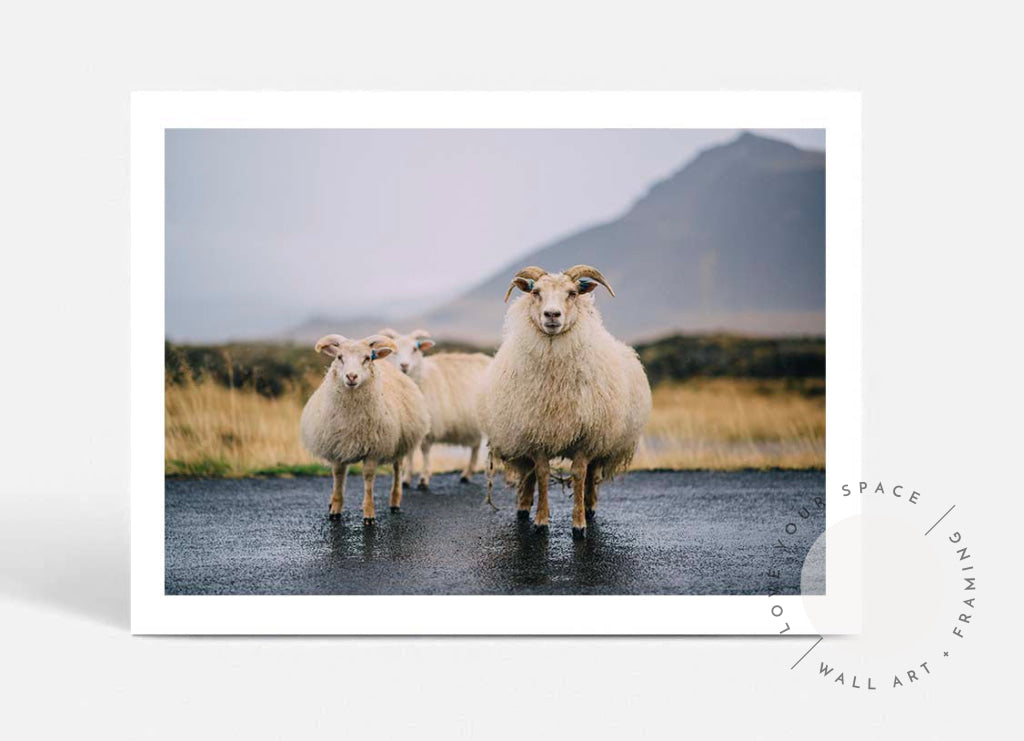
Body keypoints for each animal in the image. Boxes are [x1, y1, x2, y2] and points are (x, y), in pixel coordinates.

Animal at [378, 327, 493, 489]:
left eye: (415, 349)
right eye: (394, 350)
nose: (404, 365)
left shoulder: (430, 426)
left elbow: (425, 450)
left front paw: (423, 479)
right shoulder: (413, 424)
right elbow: (411, 453)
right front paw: (406, 479)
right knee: (476, 446)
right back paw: (467, 474)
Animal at [477, 264, 651, 540]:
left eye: (572, 293)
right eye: (535, 292)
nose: (552, 314)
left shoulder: (586, 437)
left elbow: (580, 474)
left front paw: (579, 524)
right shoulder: (537, 433)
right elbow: (541, 473)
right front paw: (540, 520)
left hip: (603, 437)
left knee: (592, 473)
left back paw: (590, 506)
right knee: (528, 473)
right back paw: (523, 506)